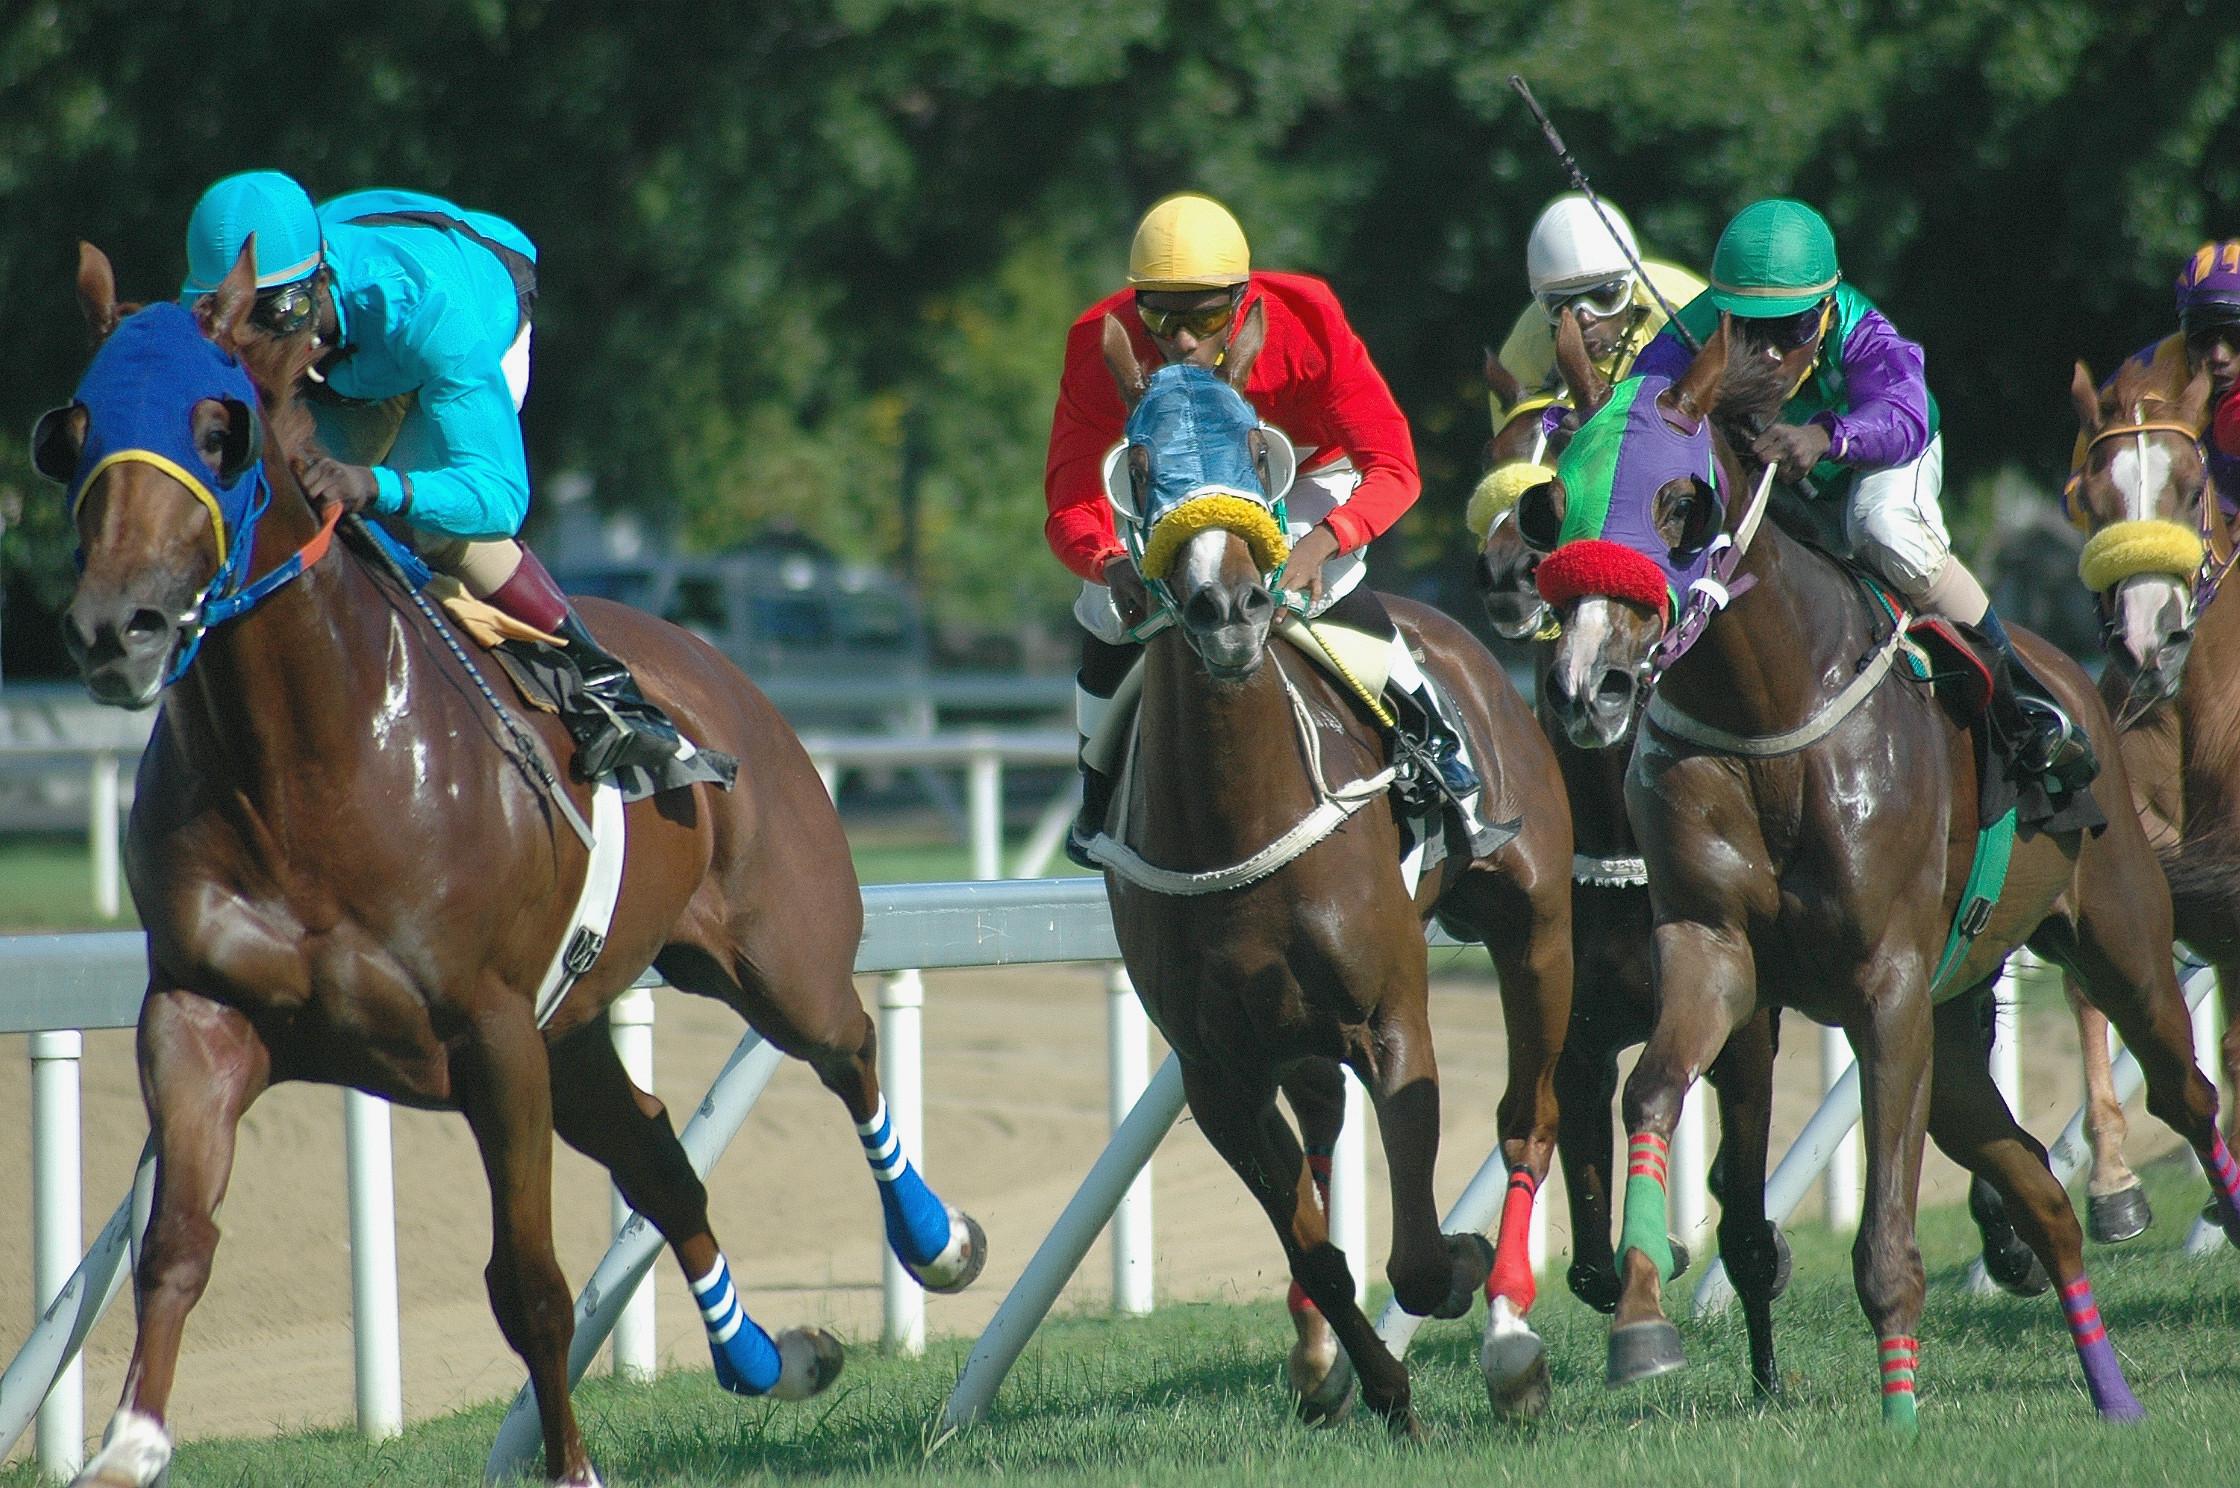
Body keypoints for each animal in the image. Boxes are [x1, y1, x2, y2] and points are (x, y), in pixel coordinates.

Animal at [43, 246, 985, 1488]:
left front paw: (572, 1467)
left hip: (776, 964)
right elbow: (177, 1244)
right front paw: (131, 1443)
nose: (119, 628)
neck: (301, 764)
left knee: (849, 1049)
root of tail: (721, 675)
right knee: (658, 1152)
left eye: (220, 430)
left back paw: (938, 1240)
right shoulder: (200, 1013)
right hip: (571, 1031)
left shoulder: (490, 1038)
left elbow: (528, 1284)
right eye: (73, 431)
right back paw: (769, 1359)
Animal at [1093, 307, 1568, 1434]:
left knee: (1527, 1119)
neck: (1234, 814)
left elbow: (1418, 1256)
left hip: (1537, 924)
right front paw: (1376, 1382)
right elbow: (1316, 1244)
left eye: (1253, 444)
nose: (1227, 606)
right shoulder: (1216, 1072)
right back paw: (1319, 1357)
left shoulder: (1391, 1018)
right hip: (1288, 1033)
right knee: (1317, 1131)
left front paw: (1458, 1273)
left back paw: (1511, 1342)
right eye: (1139, 463)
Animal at [1523, 322, 2240, 1434]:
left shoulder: (1886, 986)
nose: (1583, 688)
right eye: (1553, 504)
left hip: (2116, 939)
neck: (1768, 715)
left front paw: (1898, 1409)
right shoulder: (1714, 952)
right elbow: (1647, 1092)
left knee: (2188, 1095)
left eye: (1677, 503)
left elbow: (1884, 1237)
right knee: (2039, 1191)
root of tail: (2087, 680)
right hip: (1950, 1045)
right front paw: (1641, 1317)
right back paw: (2111, 1393)